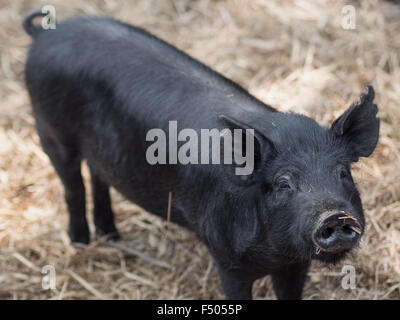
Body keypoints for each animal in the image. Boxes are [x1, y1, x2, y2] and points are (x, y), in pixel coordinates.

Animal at [23, 10, 380, 300]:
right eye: (283, 183)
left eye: (343, 173)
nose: (335, 216)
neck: (276, 254)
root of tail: (46, 34)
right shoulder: (227, 259)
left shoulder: (295, 264)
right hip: (49, 129)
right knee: (73, 186)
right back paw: (80, 242)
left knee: (98, 176)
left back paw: (111, 235)